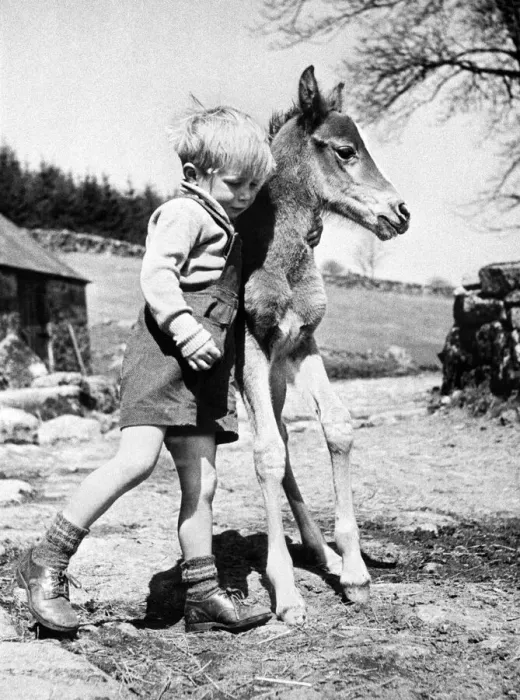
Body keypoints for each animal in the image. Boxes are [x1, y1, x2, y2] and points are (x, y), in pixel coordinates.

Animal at [236, 65, 410, 625]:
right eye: (345, 150)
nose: (400, 213)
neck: (281, 261)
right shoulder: (251, 345)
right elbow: (266, 453)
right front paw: (286, 594)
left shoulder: (302, 344)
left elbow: (336, 425)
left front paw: (354, 570)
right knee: (271, 444)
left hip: (276, 381)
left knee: (288, 440)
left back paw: (325, 555)